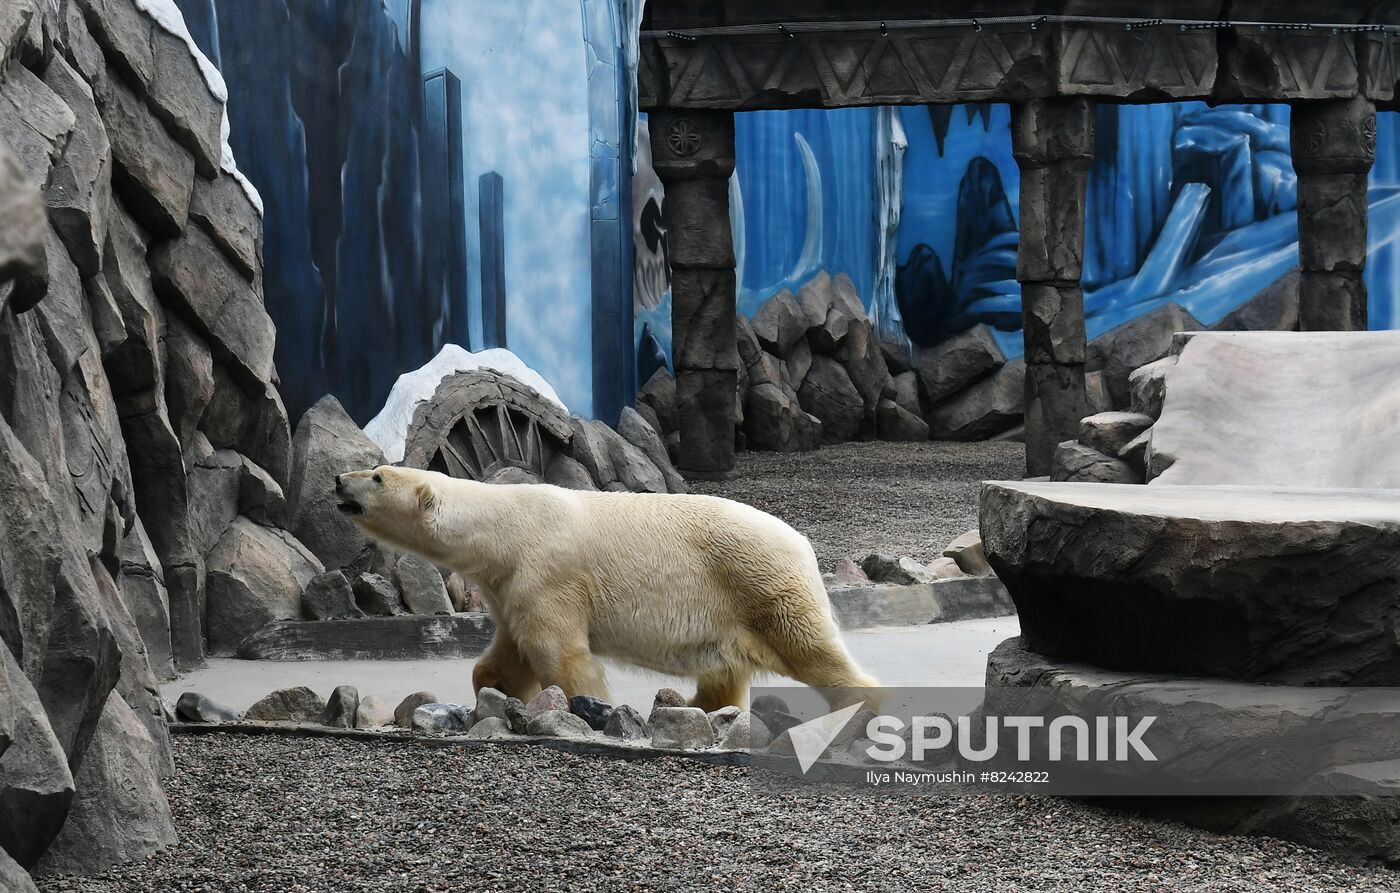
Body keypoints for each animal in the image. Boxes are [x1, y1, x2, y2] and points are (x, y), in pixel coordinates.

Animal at [336, 464, 873, 711]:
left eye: (378, 476)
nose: (340, 480)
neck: (507, 526)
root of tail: (803, 543)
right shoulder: (509, 587)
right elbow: (509, 651)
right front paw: (497, 690)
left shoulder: (548, 570)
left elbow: (558, 652)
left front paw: (591, 707)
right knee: (722, 674)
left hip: (757, 580)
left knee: (811, 650)